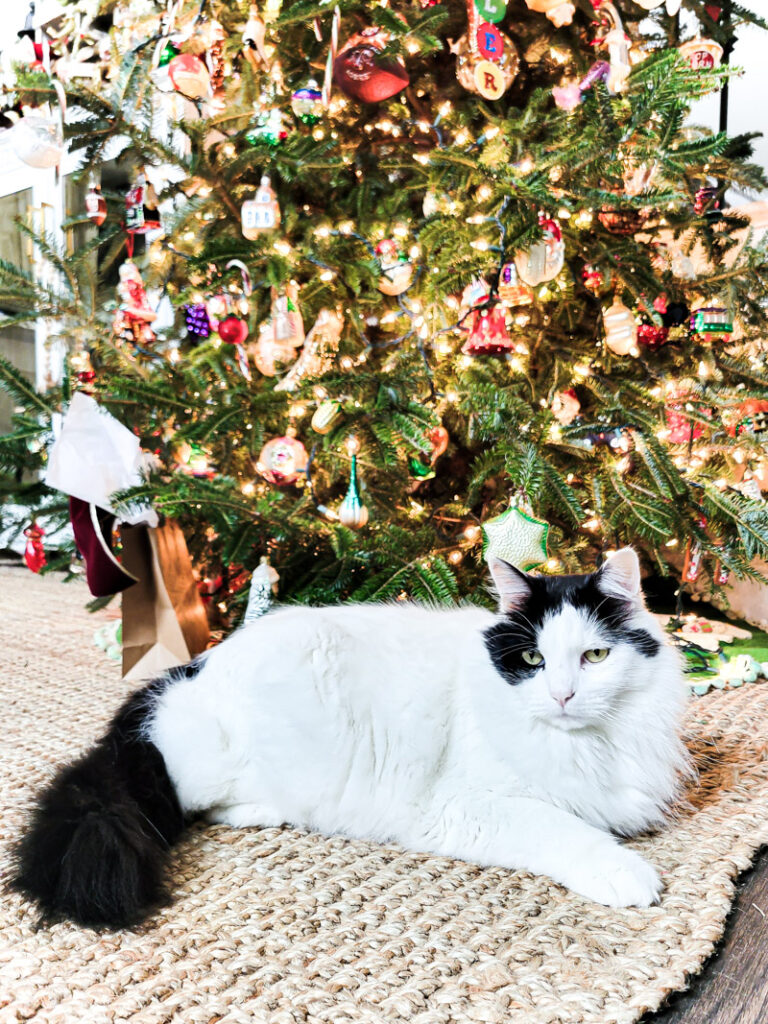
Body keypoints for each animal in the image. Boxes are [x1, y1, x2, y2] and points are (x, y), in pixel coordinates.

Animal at [12, 552, 688, 929]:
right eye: (531, 659)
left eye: (595, 656)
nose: (563, 696)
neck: (587, 744)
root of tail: (190, 668)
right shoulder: (466, 806)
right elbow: (563, 829)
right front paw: (627, 874)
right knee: (197, 803)